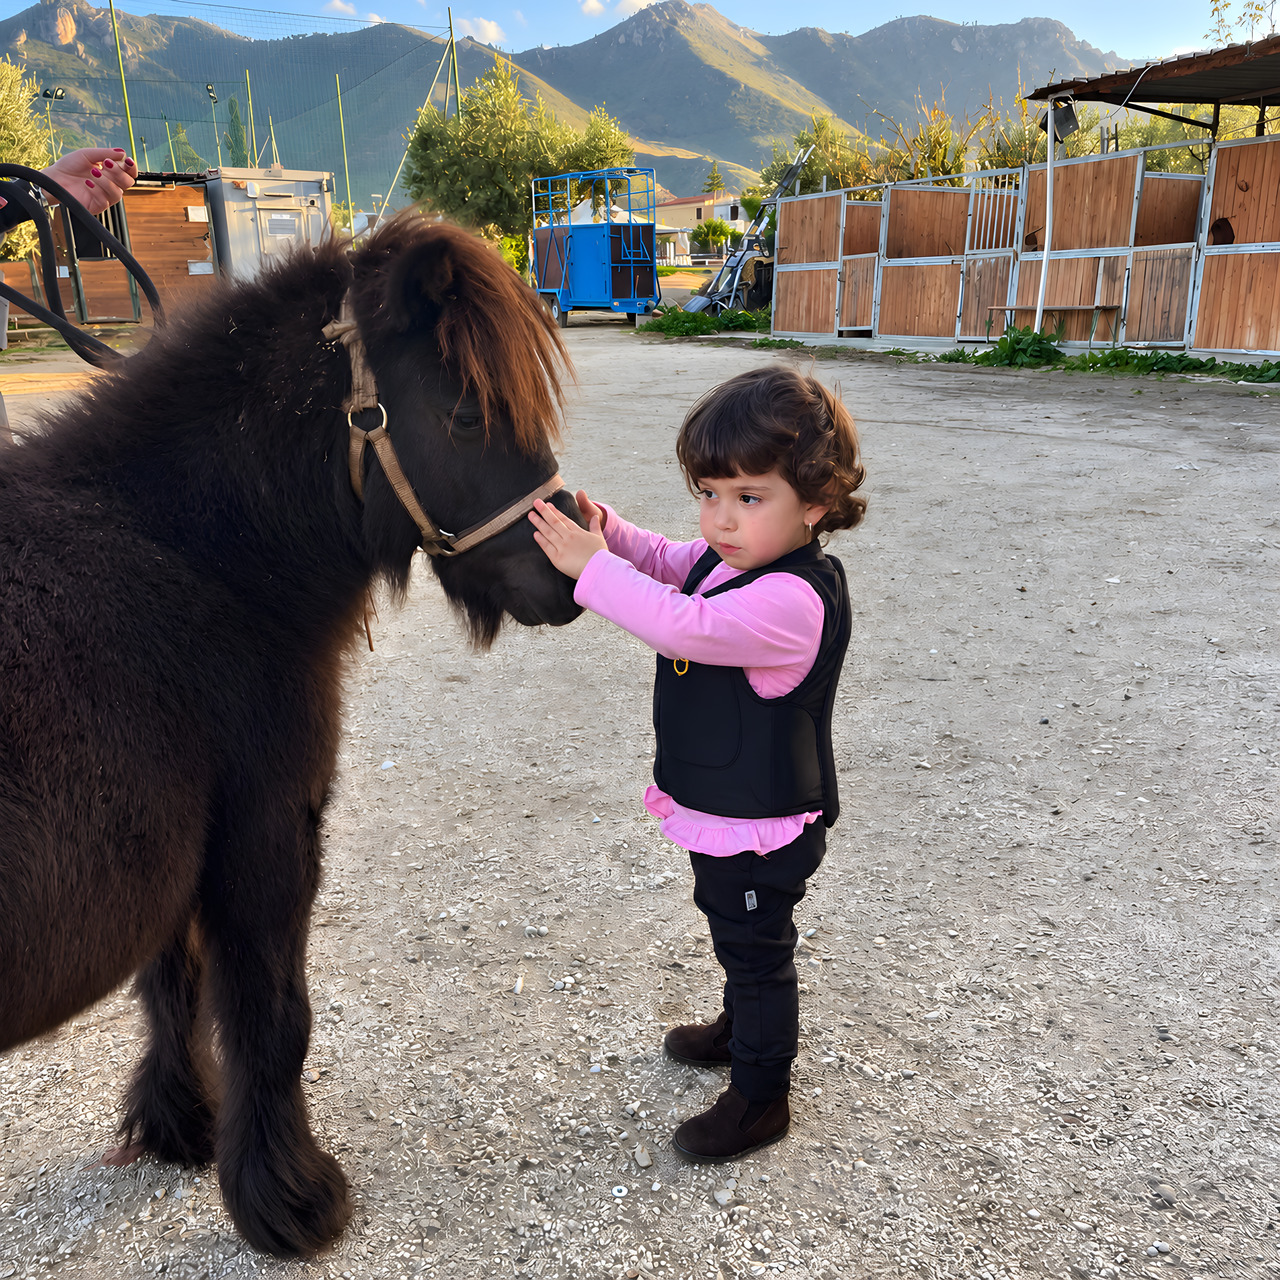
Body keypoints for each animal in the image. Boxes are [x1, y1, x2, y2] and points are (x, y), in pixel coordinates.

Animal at [0, 212, 583, 1257]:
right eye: (466, 416)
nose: (567, 570)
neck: (188, 557)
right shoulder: (266, 835)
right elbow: (273, 1014)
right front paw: (290, 1198)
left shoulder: (177, 849)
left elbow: (174, 988)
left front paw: (180, 1127)